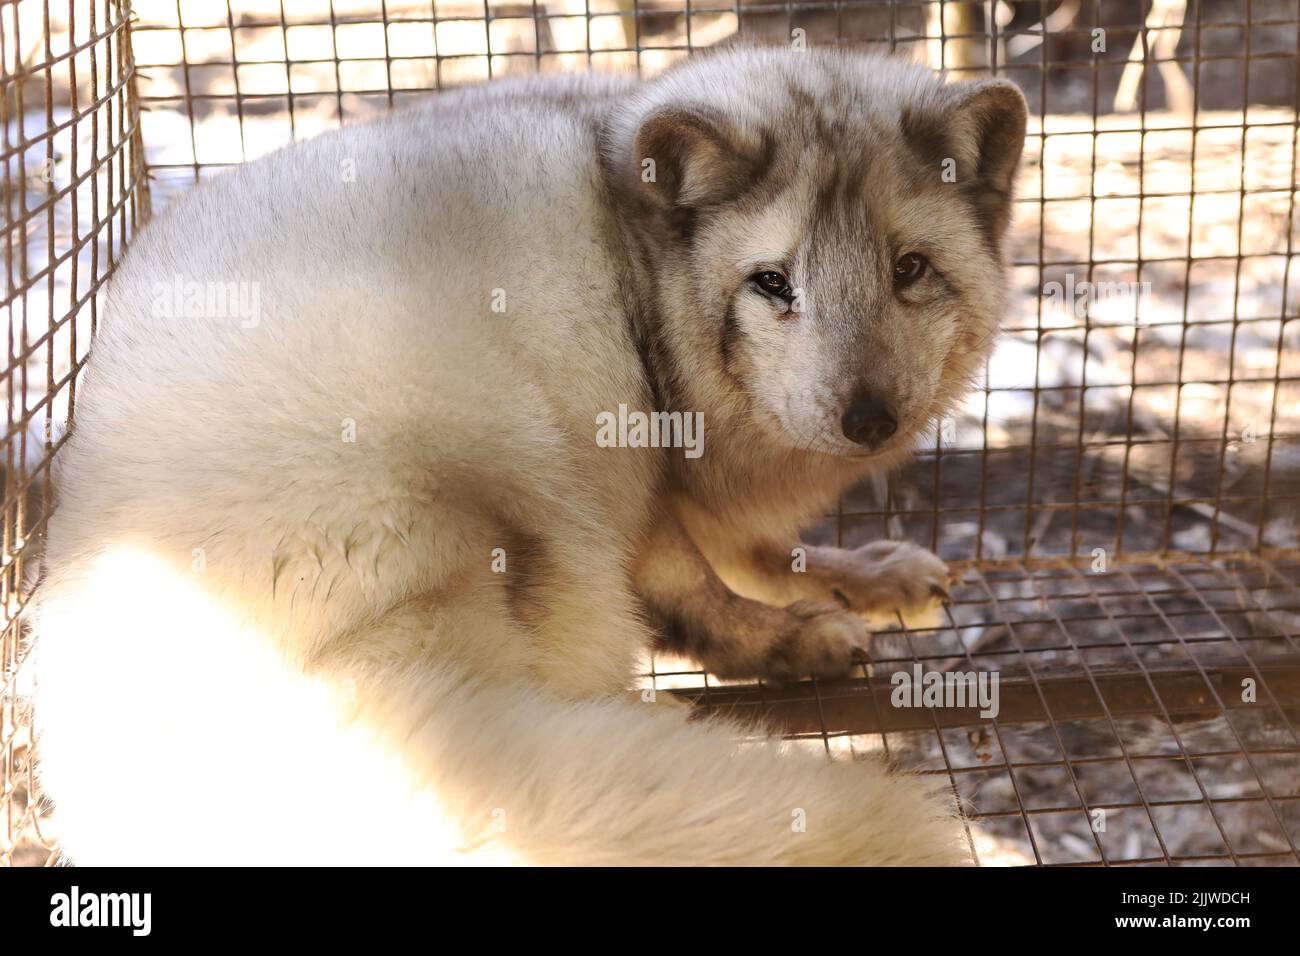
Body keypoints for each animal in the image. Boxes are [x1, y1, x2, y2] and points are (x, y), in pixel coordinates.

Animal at [32, 46, 1024, 868]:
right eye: (773, 282)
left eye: (909, 269)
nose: (869, 418)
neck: (636, 257)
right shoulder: (632, 451)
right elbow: (696, 580)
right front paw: (781, 635)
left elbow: (762, 552)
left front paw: (864, 574)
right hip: (523, 494)